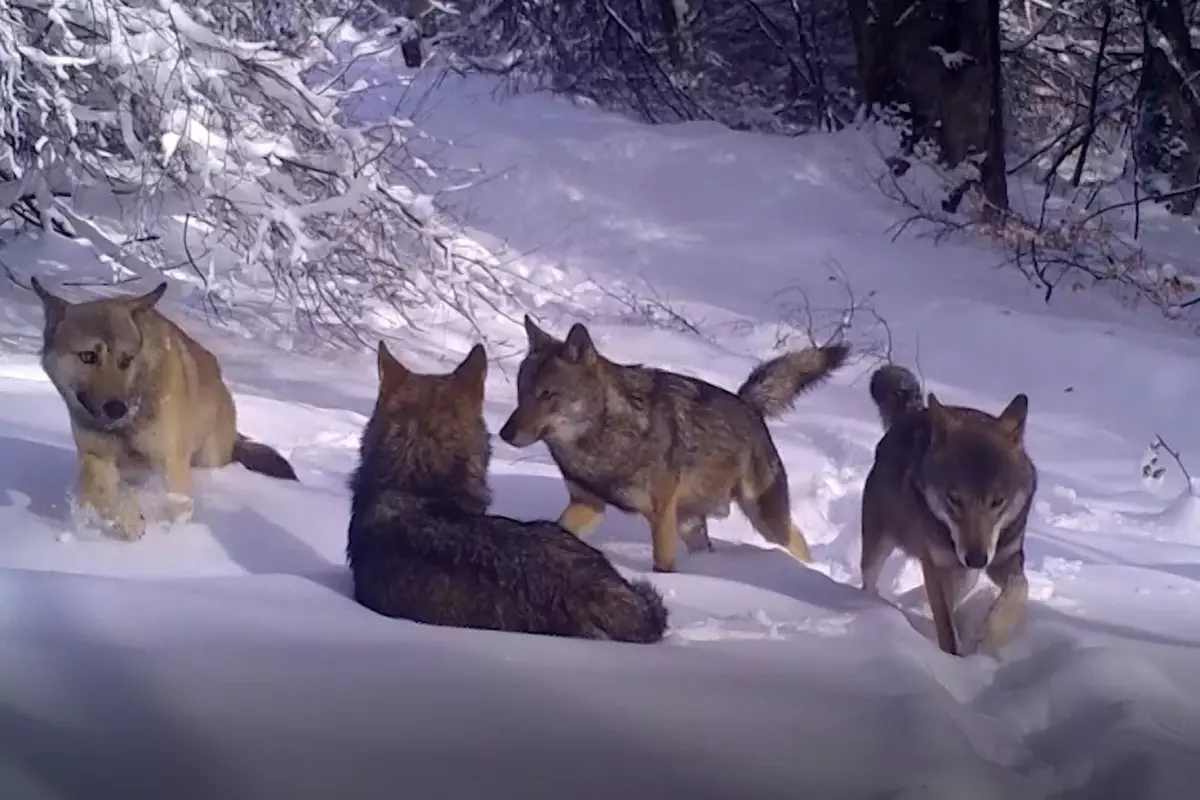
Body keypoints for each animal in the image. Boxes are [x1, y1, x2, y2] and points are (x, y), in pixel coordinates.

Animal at [30, 277, 297, 544]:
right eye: (88, 356)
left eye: (126, 360)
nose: (117, 408)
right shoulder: (95, 456)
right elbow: (103, 492)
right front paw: (129, 520)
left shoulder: (170, 461)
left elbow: (174, 505)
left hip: (208, 456)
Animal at [496, 316, 854, 575]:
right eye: (521, 391)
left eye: (547, 394)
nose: (504, 433)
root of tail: (748, 404)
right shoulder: (588, 505)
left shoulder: (660, 516)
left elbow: (663, 565)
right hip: (692, 526)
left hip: (766, 522)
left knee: (798, 544)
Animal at [859, 367, 1036, 662]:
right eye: (954, 499)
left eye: (997, 501)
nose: (976, 558)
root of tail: (910, 415)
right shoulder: (935, 565)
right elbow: (946, 629)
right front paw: (953, 661)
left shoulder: (1006, 558)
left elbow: (1020, 588)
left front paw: (989, 638)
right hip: (879, 547)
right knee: (869, 583)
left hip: (966, 572)